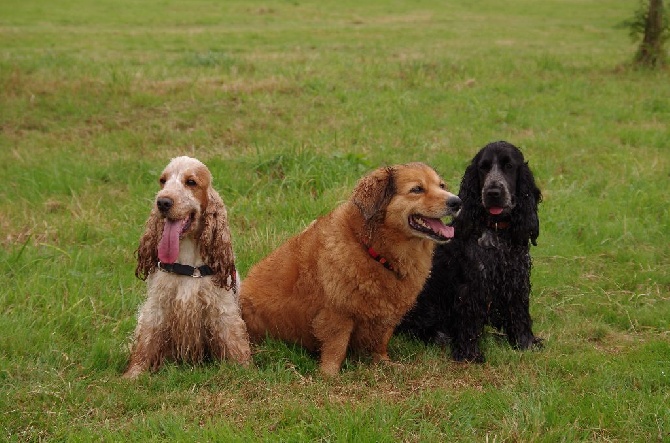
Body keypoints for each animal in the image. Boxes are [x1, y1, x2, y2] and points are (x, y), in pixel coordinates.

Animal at [240, 161, 462, 376]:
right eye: (417, 189)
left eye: (442, 186)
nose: (456, 202)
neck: (372, 250)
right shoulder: (338, 313)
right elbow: (336, 348)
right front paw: (329, 376)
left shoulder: (387, 317)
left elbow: (380, 342)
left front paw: (385, 363)